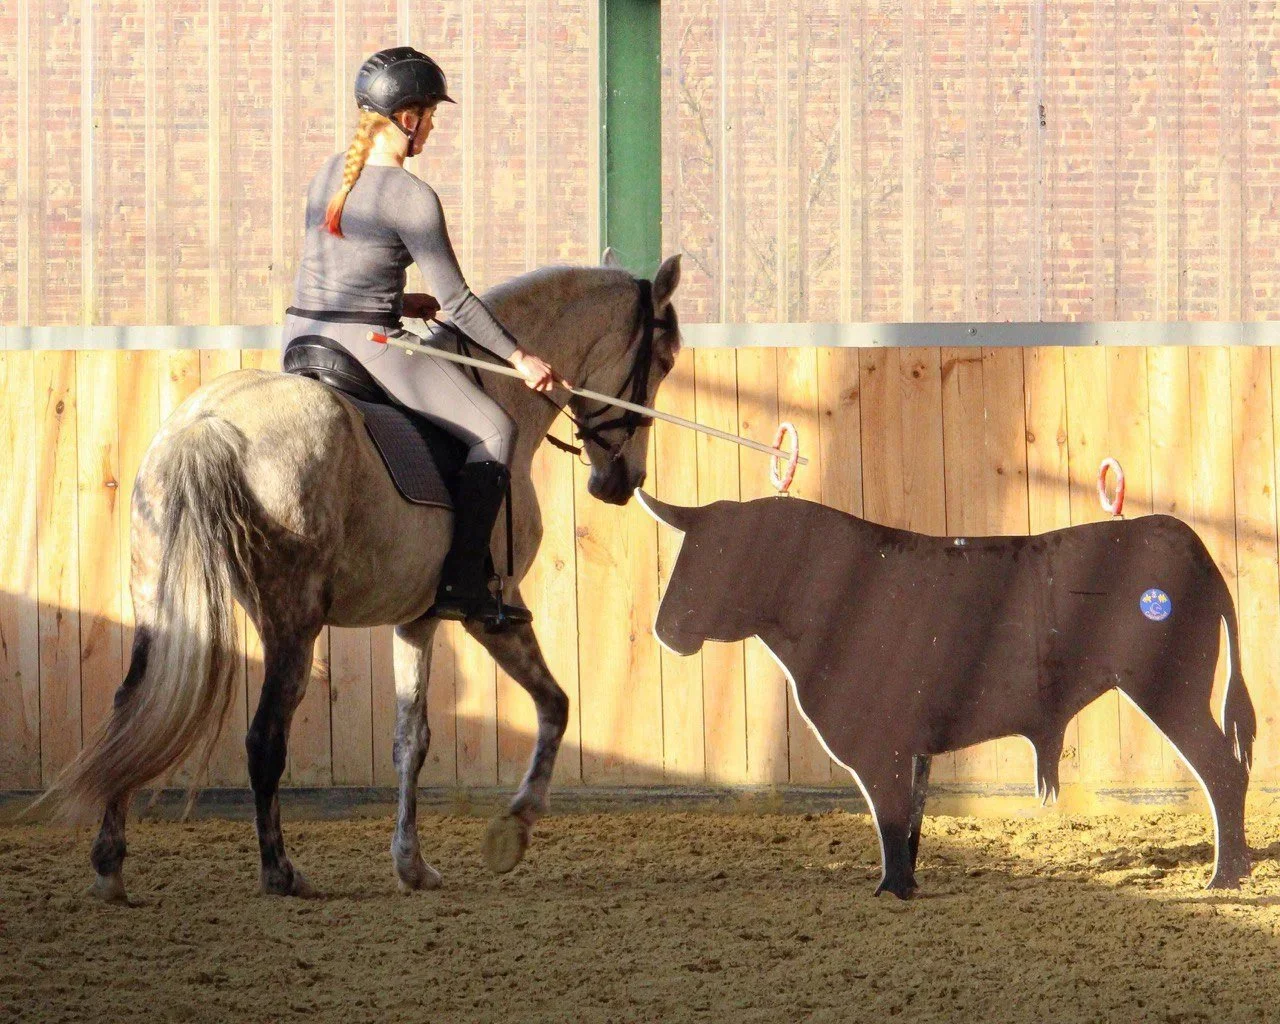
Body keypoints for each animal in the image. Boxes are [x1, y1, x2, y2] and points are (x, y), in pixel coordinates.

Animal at [39, 251, 684, 903]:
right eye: (664, 360)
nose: (621, 482)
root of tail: (207, 423)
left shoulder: (419, 618)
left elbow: (411, 741)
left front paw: (412, 864)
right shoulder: (493, 612)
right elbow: (555, 705)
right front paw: (514, 829)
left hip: (160, 604)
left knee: (132, 712)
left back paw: (110, 866)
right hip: (292, 622)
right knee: (264, 736)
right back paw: (280, 872)